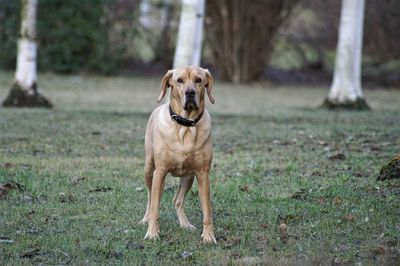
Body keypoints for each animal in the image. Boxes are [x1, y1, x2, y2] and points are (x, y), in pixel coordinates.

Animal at [140, 65, 217, 243]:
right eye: (179, 80)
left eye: (198, 80)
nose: (190, 92)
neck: (185, 126)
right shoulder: (160, 172)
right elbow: (155, 207)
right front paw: (152, 233)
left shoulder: (203, 174)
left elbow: (207, 211)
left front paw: (208, 236)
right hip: (149, 168)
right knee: (149, 196)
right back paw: (145, 219)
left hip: (188, 178)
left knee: (177, 201)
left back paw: (185, 224)